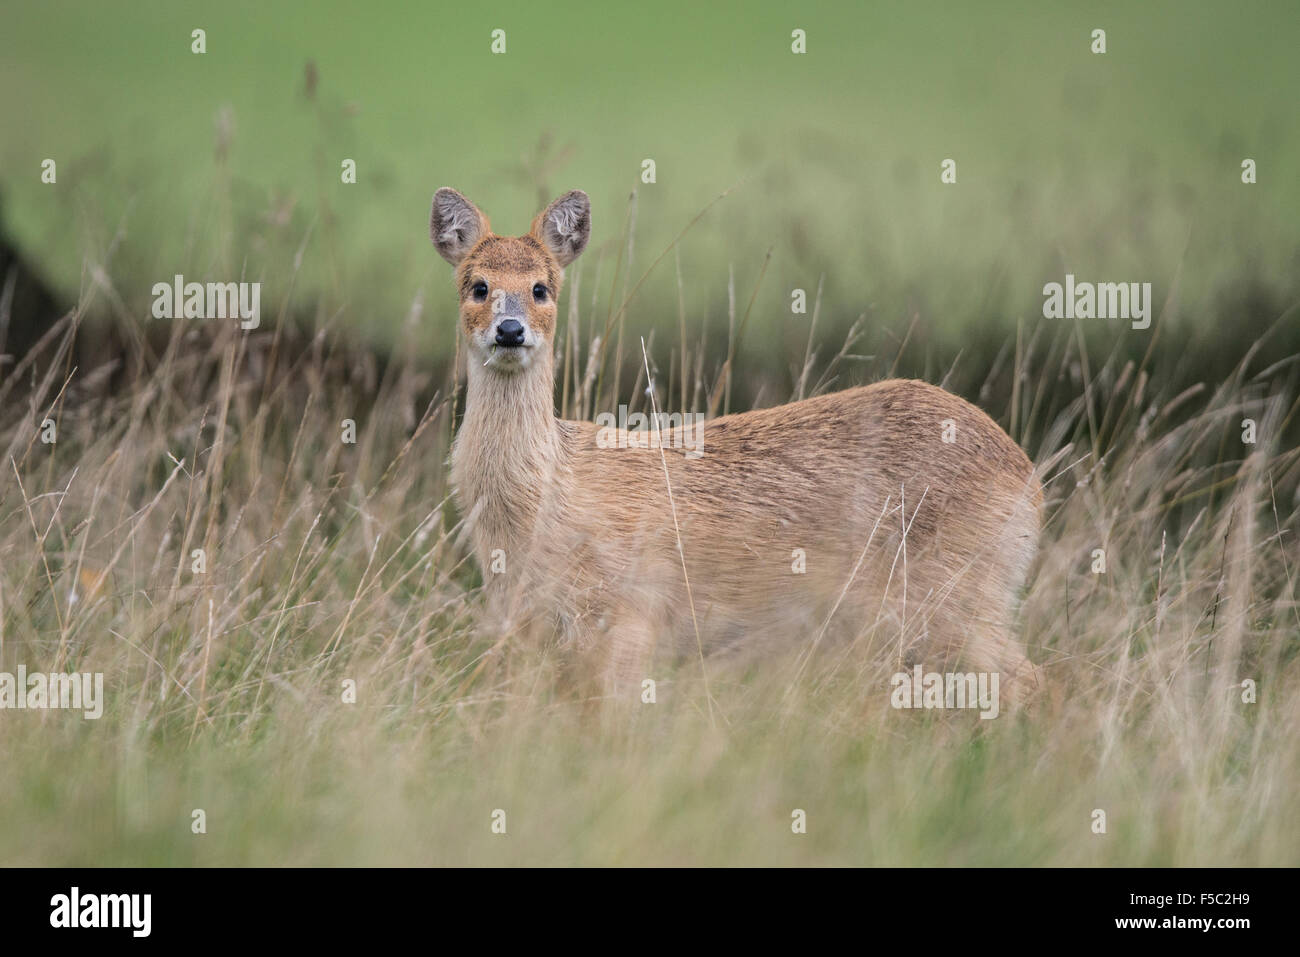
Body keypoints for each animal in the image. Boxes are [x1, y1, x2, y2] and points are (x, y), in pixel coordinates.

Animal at [434, 188, 1045, 702]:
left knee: (1034, 684)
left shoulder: (630, 614)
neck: (546, 500)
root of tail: (1030, 480)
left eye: (541, 288)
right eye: (478, 285)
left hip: (960, 589)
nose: (510, 330)